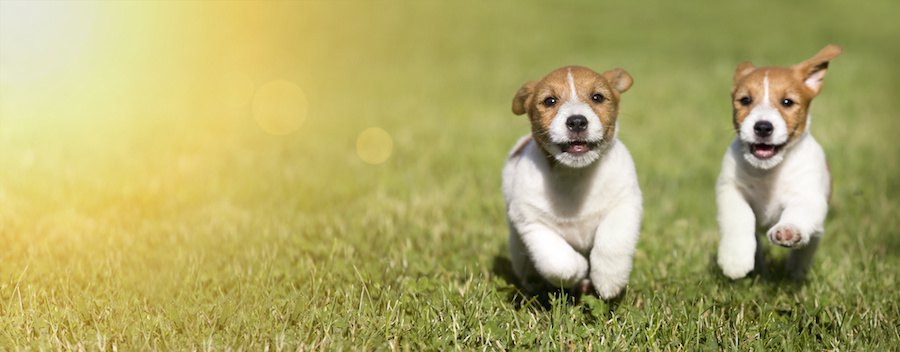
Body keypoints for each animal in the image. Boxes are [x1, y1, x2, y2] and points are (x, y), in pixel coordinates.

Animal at [502, 64, 644, 298]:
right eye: (550, 100)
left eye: (597, 97)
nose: (577, 121)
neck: (575, 175)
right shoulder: (531, 221)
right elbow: (558, 262)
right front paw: (579, 271)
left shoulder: (624, 205)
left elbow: (611, 242)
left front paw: (608, 280)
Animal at [712, 44, 840, 280]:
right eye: (745, 100)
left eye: (787, 102)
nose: (763, 127)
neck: (768, 172)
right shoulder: (731, 190)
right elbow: (740, 217)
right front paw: (735, 259)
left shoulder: (808, 196)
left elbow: (798, 213)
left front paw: (788, 231)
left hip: (816, 232)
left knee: (809, 246)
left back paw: (796, 271)